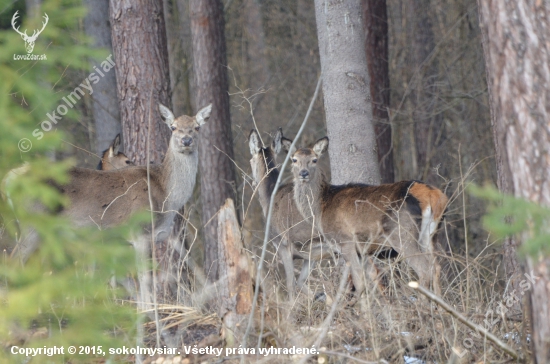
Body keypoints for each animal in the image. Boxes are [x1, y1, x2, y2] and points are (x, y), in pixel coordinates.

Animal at [11, 102, 213, 264]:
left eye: (197, 127)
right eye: (173, 127)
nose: (186, 140)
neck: (166, 195)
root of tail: (10, 178)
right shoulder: (139, 233)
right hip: (32, 223)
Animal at [248, 129, 338, 300]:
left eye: (250, 160)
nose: (253, 182)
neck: (270, 198)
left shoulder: (282, 244)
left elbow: (291, 284)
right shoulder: (309, 254)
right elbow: (301, 282)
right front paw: (320, 297)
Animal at [286, 136, 450, 298]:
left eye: (314, 159)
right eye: (294, 159)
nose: (303, 173)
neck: (321, 208)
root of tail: (433, 195)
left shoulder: (345, 241)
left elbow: (359, 282)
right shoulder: (362, 249)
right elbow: (372, 276)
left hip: (402, 234)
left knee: (424, 268)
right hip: (430, 235)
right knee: (436, 266)